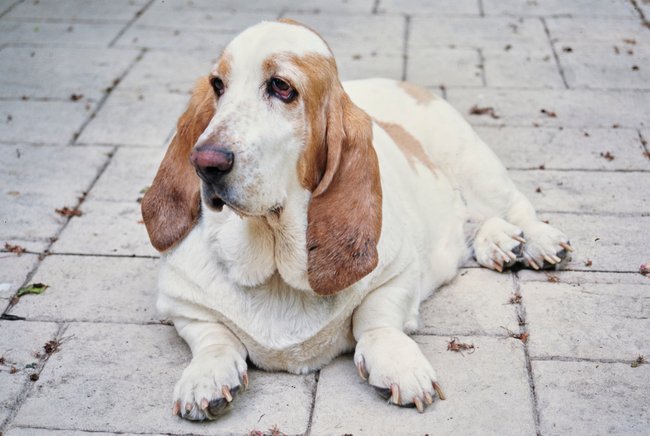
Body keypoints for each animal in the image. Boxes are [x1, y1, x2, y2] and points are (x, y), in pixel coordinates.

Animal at [140, 18, 568, 420]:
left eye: (281, 87)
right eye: (217, 85)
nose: (205, 163)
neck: (274, 255)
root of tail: (402, 81)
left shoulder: (399, 274)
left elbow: (375, 319)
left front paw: (399, 364)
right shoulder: (179, 303)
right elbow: (212, 335)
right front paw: (206, 378)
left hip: (475, 163)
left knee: (510, 206)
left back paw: (535, 242)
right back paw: (499, 242)